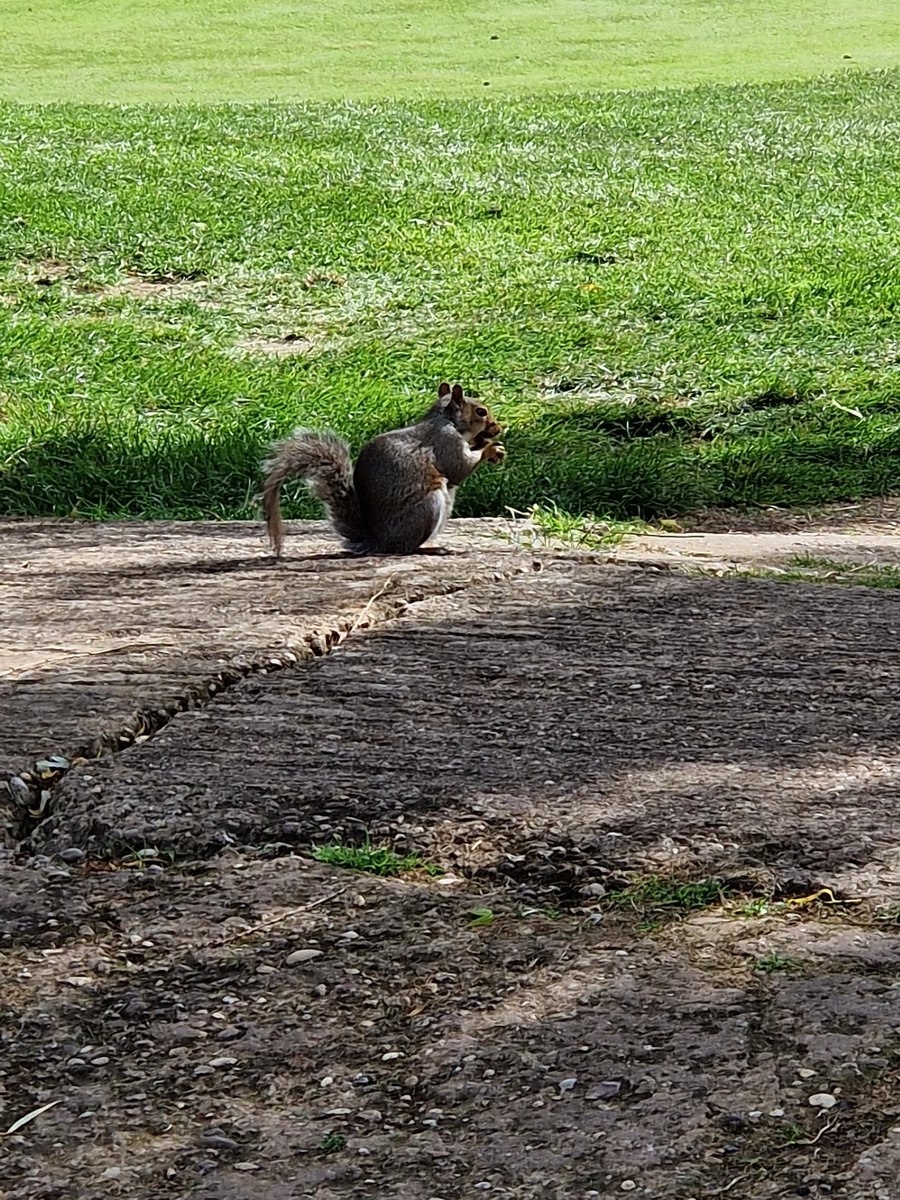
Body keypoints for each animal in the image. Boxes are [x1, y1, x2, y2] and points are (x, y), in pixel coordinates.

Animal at [260, 381, 506, 557]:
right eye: (481, 412)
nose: (498, 427)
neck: (447, 421)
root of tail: (381, 543)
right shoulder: (446, 442)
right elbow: (458, 469)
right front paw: (490, 449)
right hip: (429, 505)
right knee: (405, 549)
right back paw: (431, 548)